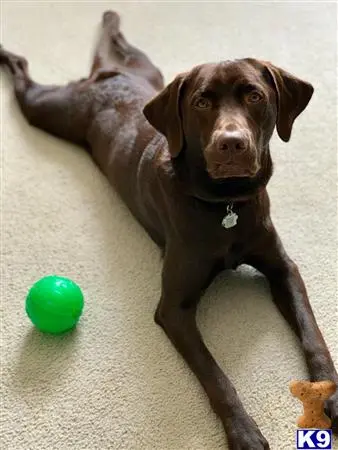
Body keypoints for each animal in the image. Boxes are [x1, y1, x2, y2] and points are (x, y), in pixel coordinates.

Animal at [1, 11, 336, 450]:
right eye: (201, 102)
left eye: (255, 96)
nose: (231, 144)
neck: (226, 205)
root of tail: (105, 78)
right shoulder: (174, 309)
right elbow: (215, 375)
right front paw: (243, 432)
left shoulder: (283, 268)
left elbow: (312, 333)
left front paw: (328, 393)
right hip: (49, 110)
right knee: (23, 73)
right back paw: (6, 54)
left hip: (146, 68)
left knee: (114, 41)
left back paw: (110, 17)